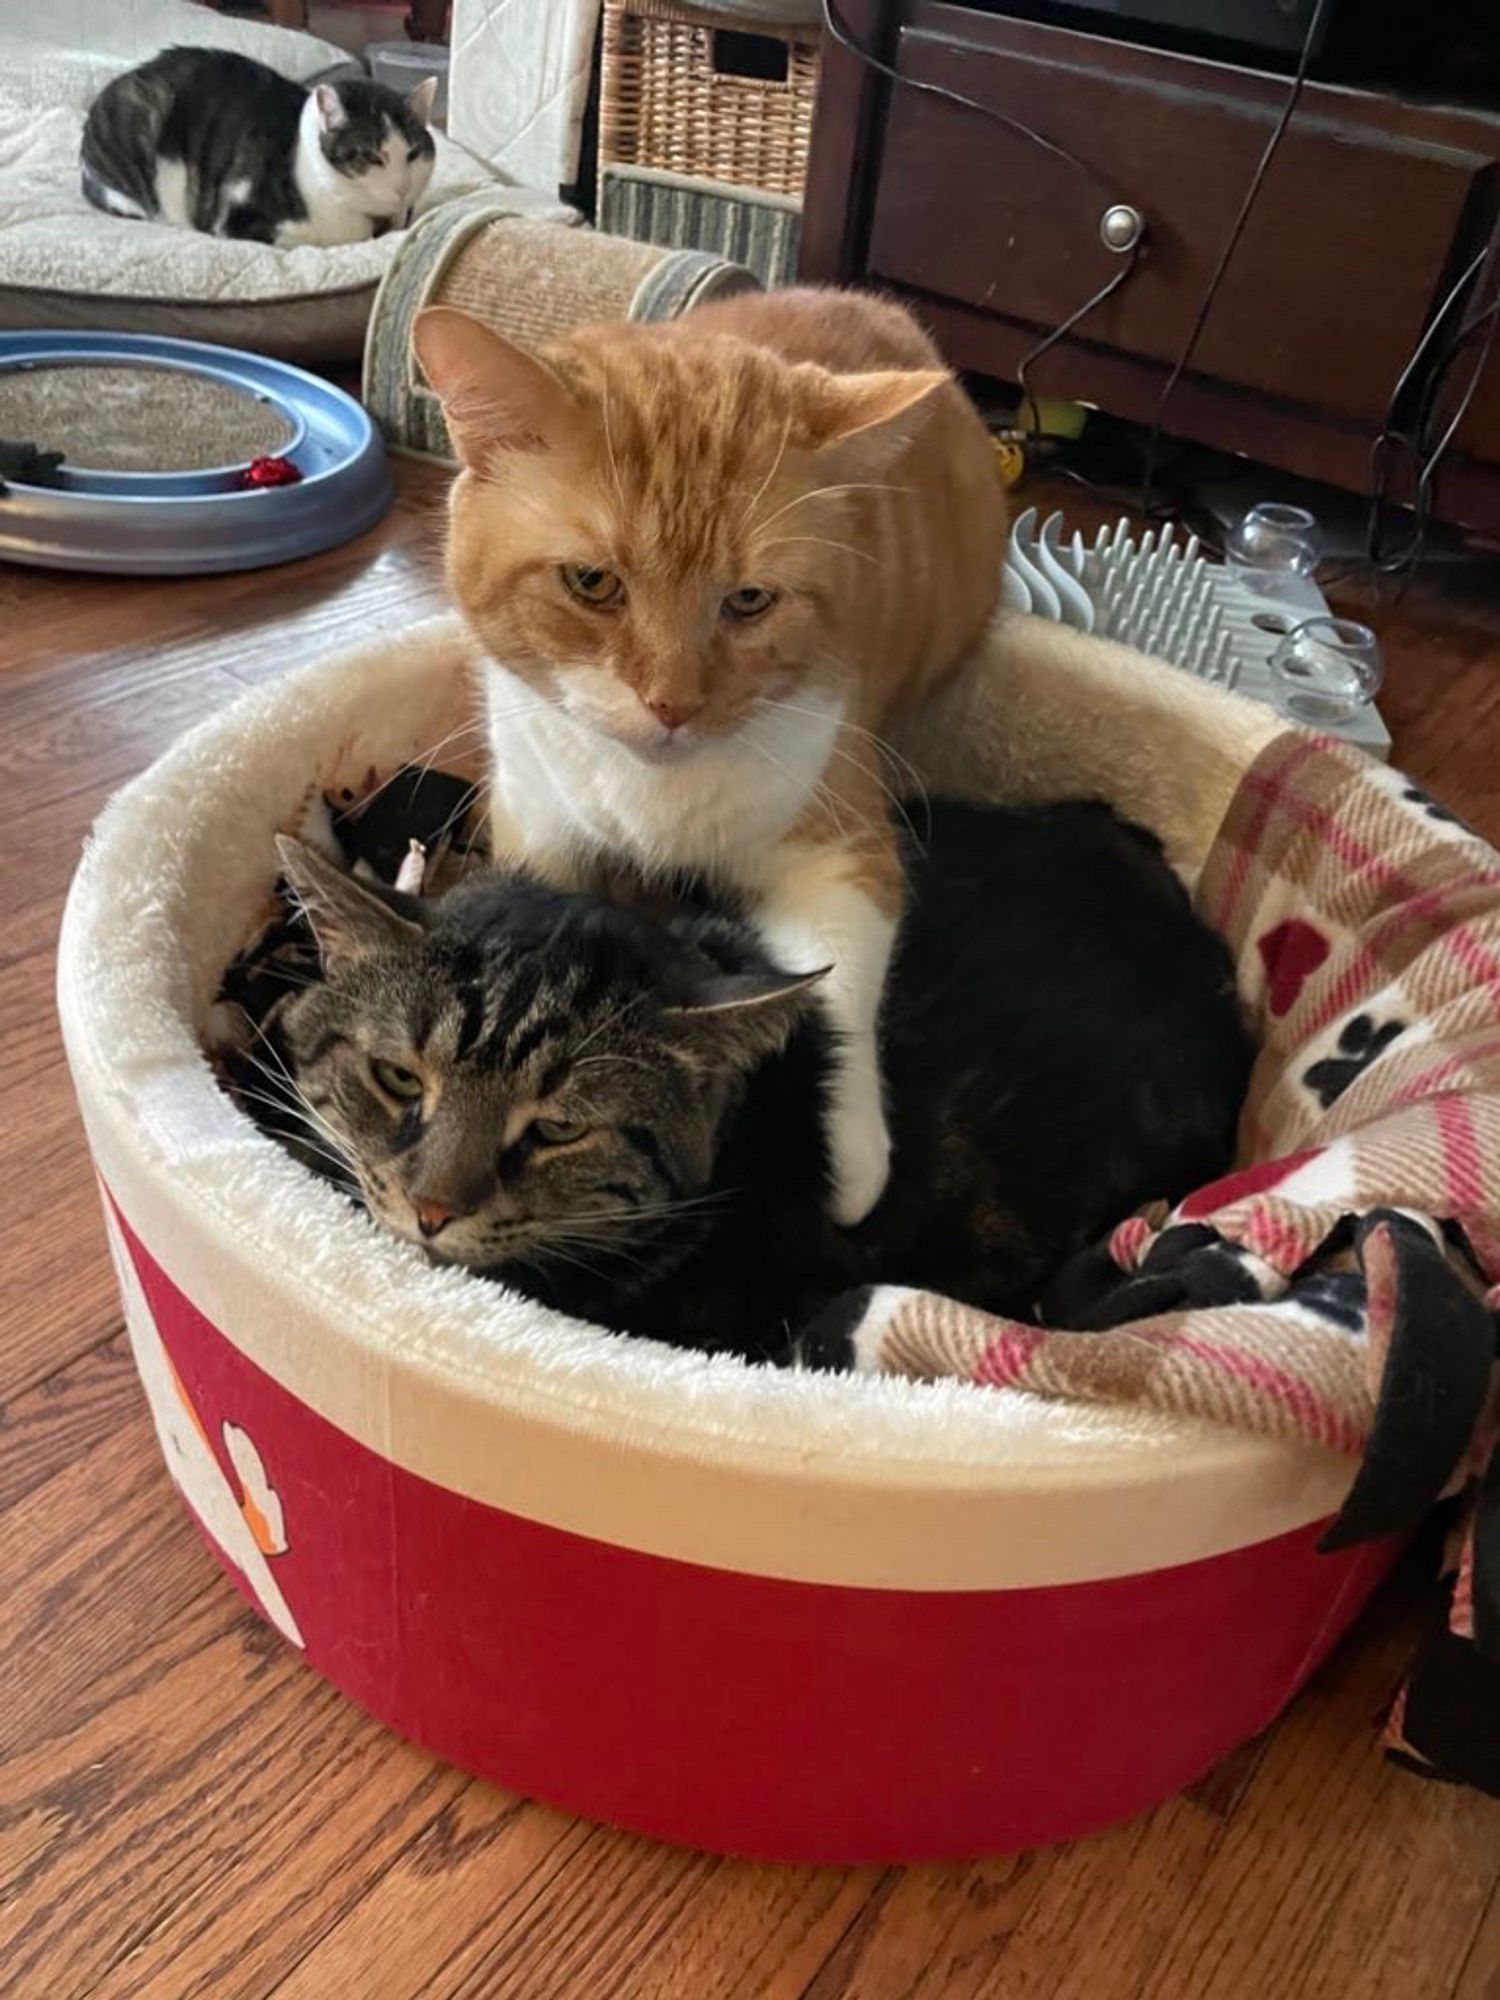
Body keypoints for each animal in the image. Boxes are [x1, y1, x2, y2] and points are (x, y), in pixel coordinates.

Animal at [408, 282, 1012, 1216]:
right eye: (592, 583)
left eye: (750, 600)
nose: (673, 704)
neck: (653, 796)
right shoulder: (538, 827)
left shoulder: (842, 851)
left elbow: (837, 991)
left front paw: (846, 1159)